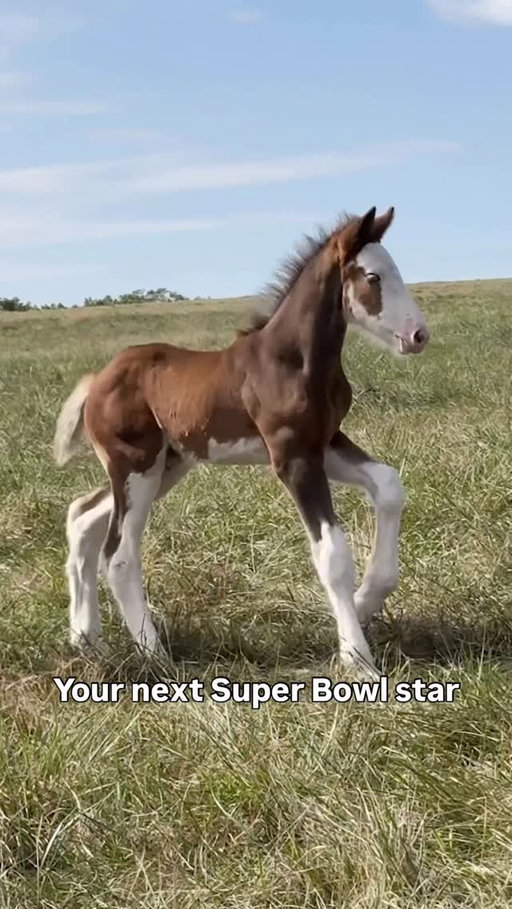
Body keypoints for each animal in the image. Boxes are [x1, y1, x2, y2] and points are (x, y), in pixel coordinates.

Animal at [53, 206, 429, 677]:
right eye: (374, 277)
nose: (418, 335)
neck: (291, 360)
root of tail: (96, 381)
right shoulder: (291, 457)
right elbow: (332, 555)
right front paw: (358, 659)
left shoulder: (323, 443)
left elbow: (389, 486)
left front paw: (365, 601)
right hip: (135, 466)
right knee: (118, 553)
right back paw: (153, 655)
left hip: (164, 465)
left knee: (82, 514)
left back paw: (86, 638)